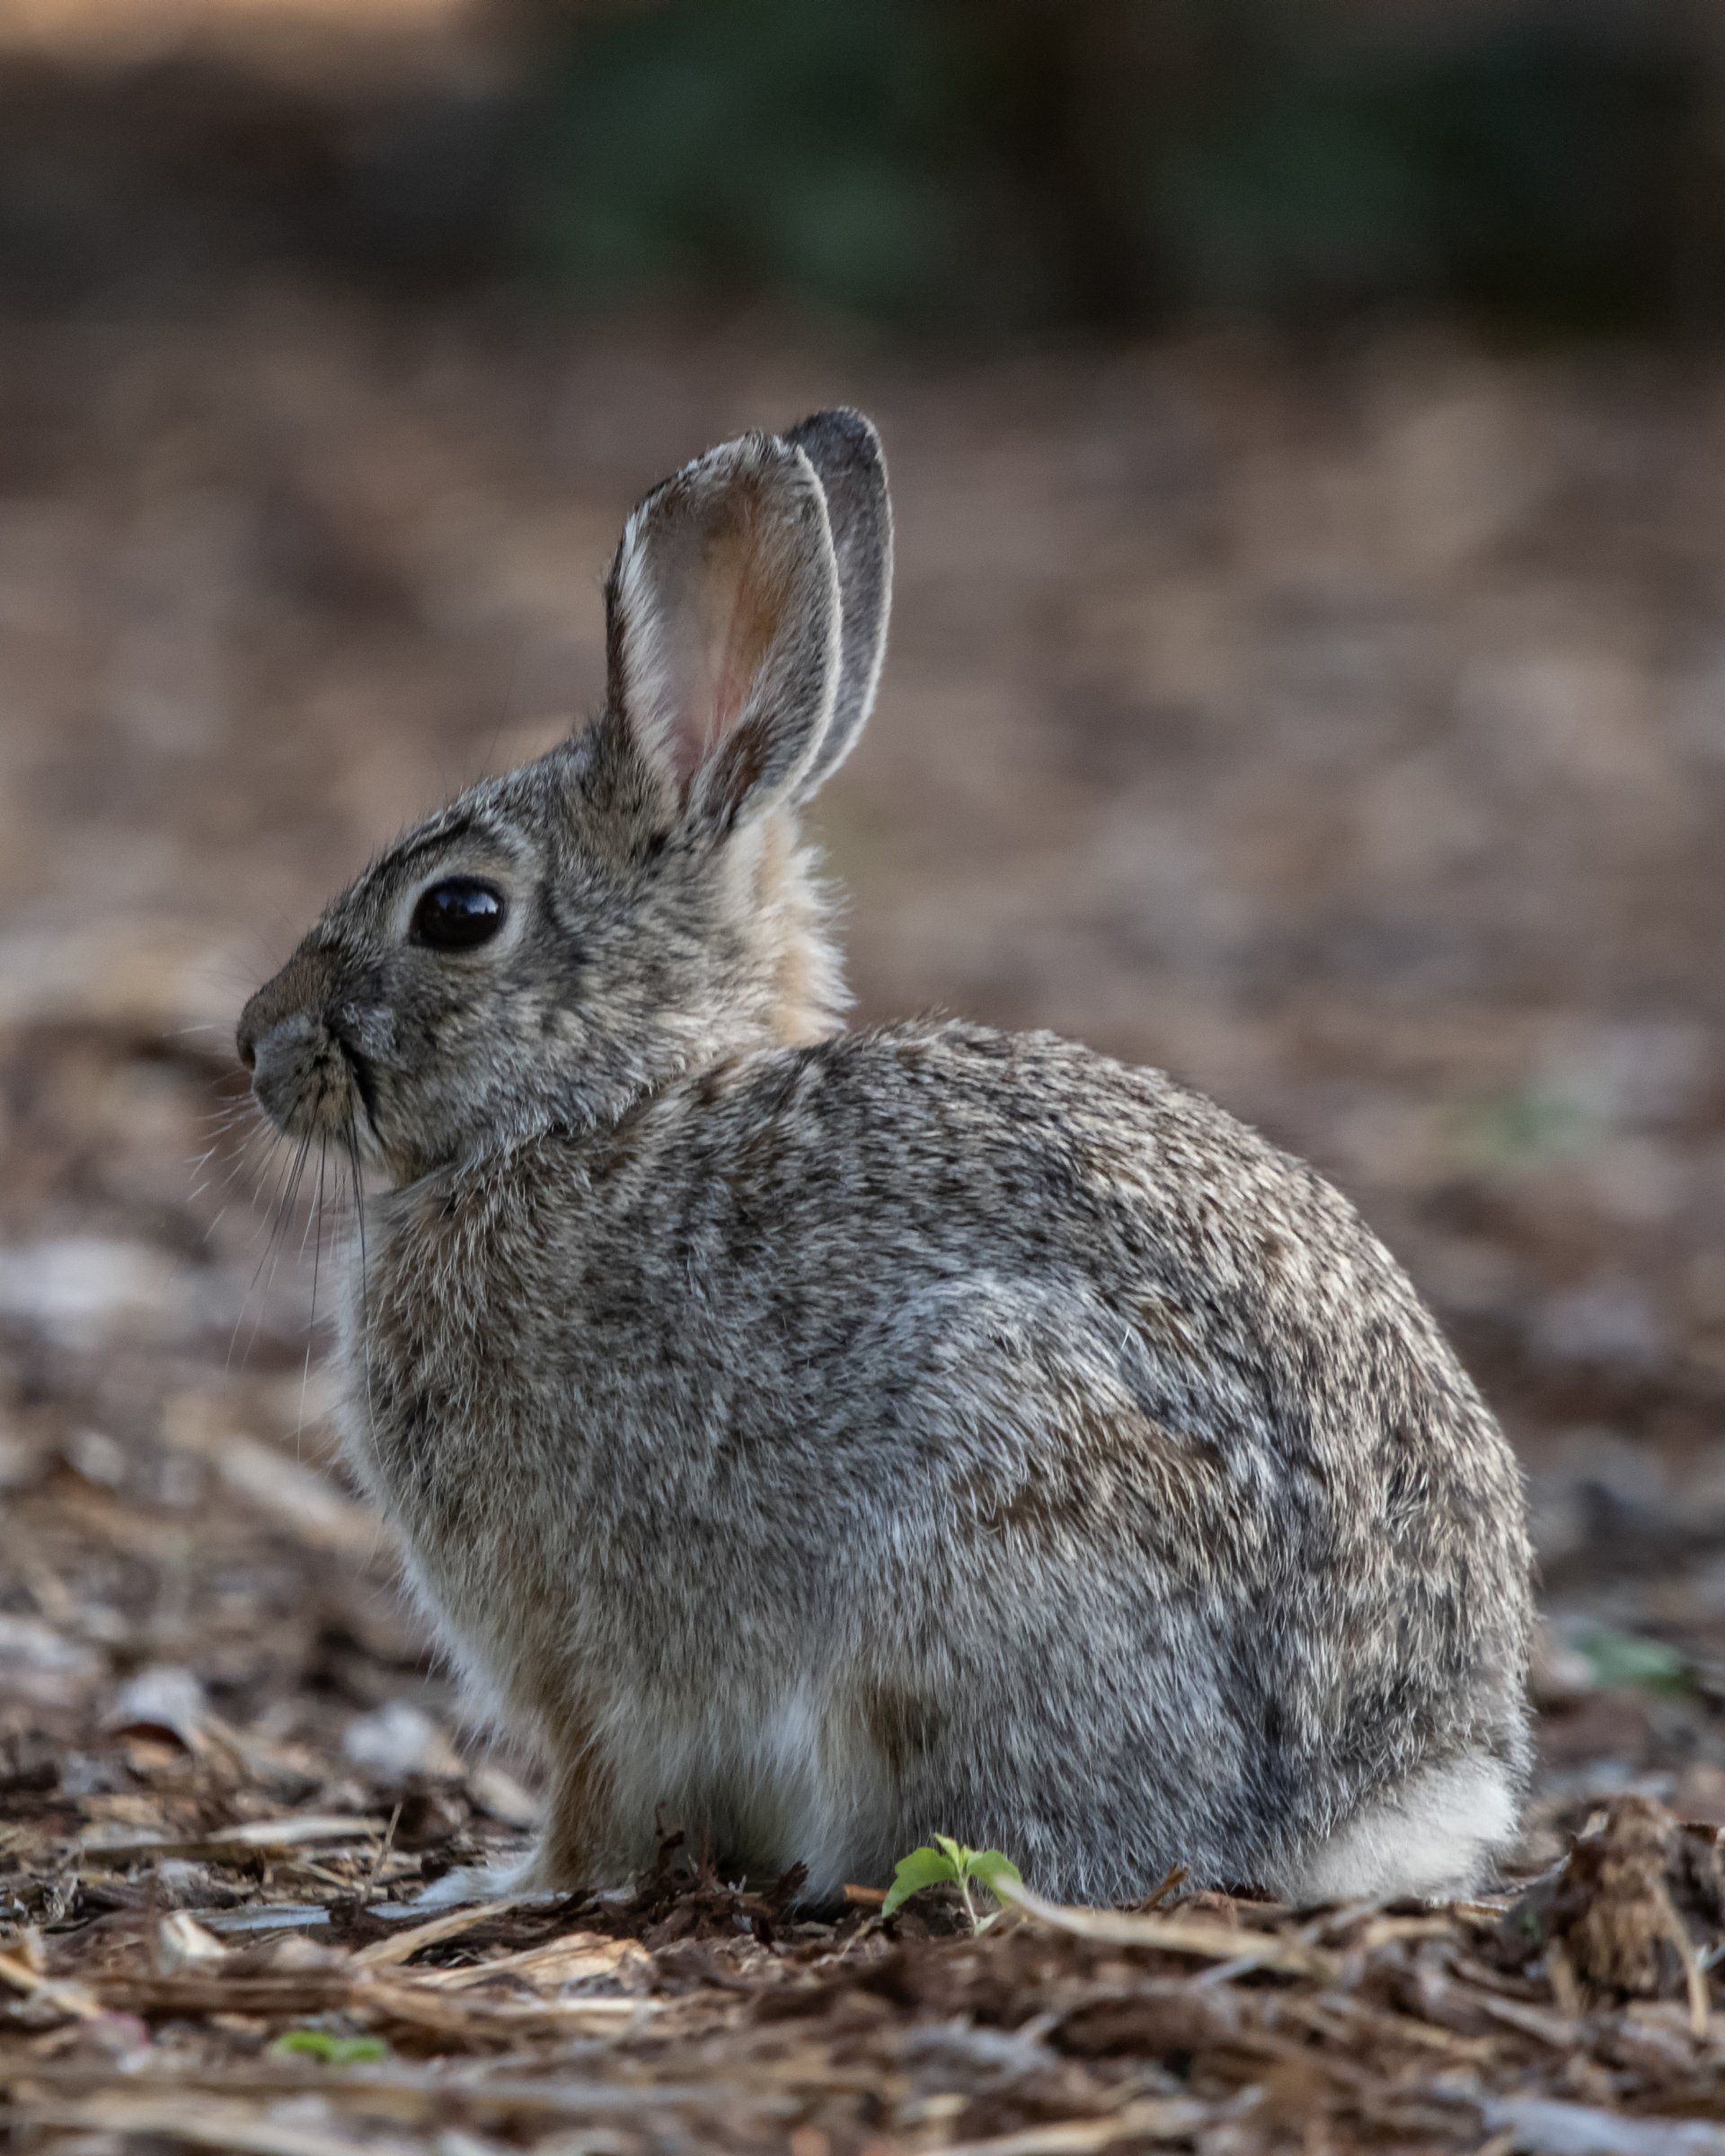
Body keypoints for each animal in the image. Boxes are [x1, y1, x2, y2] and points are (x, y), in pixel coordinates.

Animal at [238, 409, 1532, 1910]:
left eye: (457, 913)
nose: (254, 1041)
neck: (593, 1111)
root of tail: (1360, 1803)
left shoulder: (583, 1659)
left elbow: (587, 1804)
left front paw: (492, 1890)